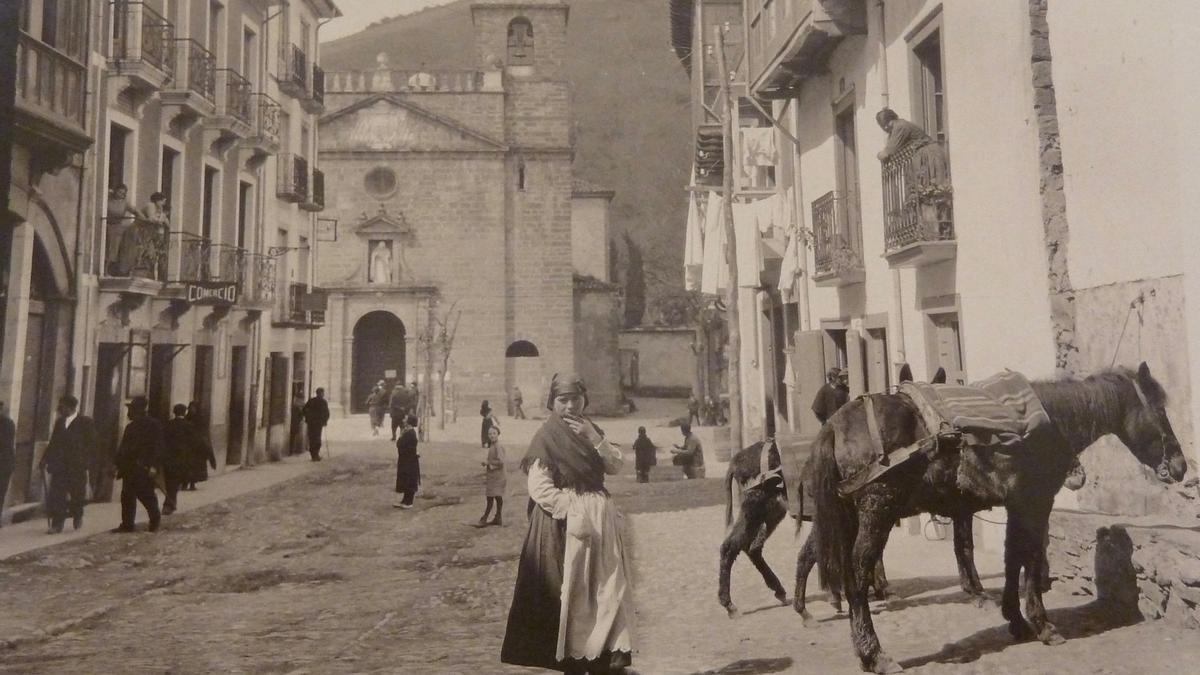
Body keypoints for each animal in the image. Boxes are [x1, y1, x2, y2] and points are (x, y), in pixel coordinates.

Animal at [811, 365, 1185, 667]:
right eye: (1159, 409)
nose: (1181, 466)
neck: (1049, 420)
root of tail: (835, 424)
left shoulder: (1016, 503)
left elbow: (1012, 557)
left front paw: (1015, 619)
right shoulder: (1035, 503)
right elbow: (1030, 558)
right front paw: (1042, 625)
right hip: (878, 510)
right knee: (858, 572)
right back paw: (874, 654)